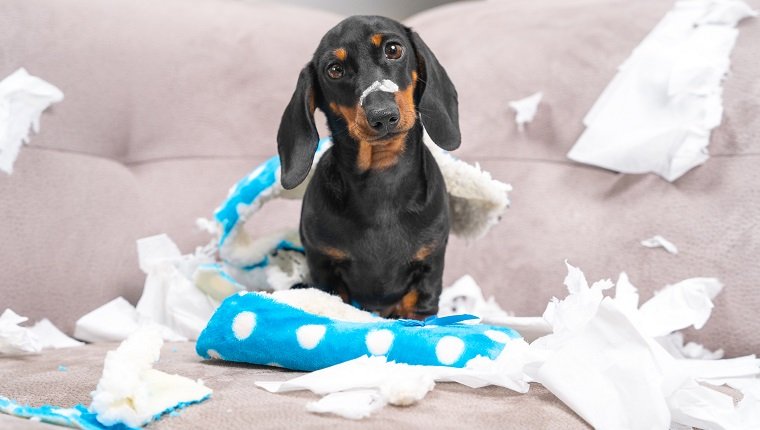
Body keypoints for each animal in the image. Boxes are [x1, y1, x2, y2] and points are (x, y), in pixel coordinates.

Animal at [278, 15, 460, 320]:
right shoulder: (324, 267)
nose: (382, 116)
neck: (382, 180)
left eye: (393, 49)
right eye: (335, 69)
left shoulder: (429, 268)